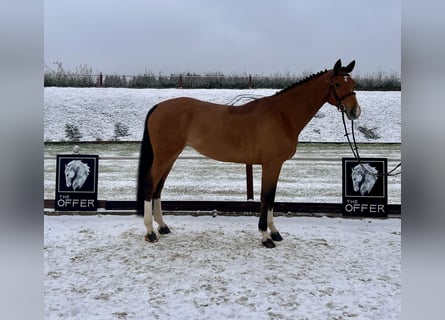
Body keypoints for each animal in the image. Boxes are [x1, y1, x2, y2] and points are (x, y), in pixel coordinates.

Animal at [136, 59, 360, 248]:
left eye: (353, 83)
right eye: (337, 84)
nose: (355, 112)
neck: (282, 115)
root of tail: (158, 106)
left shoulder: (276, 166)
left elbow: (271, 198)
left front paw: (275, 232)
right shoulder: (271, 164)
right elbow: (266, 197)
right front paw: (266, 237)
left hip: (170, 157)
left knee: (158, 188)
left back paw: (163, 227)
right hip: (164, 157)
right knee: (150, 185)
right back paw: (150, 233)